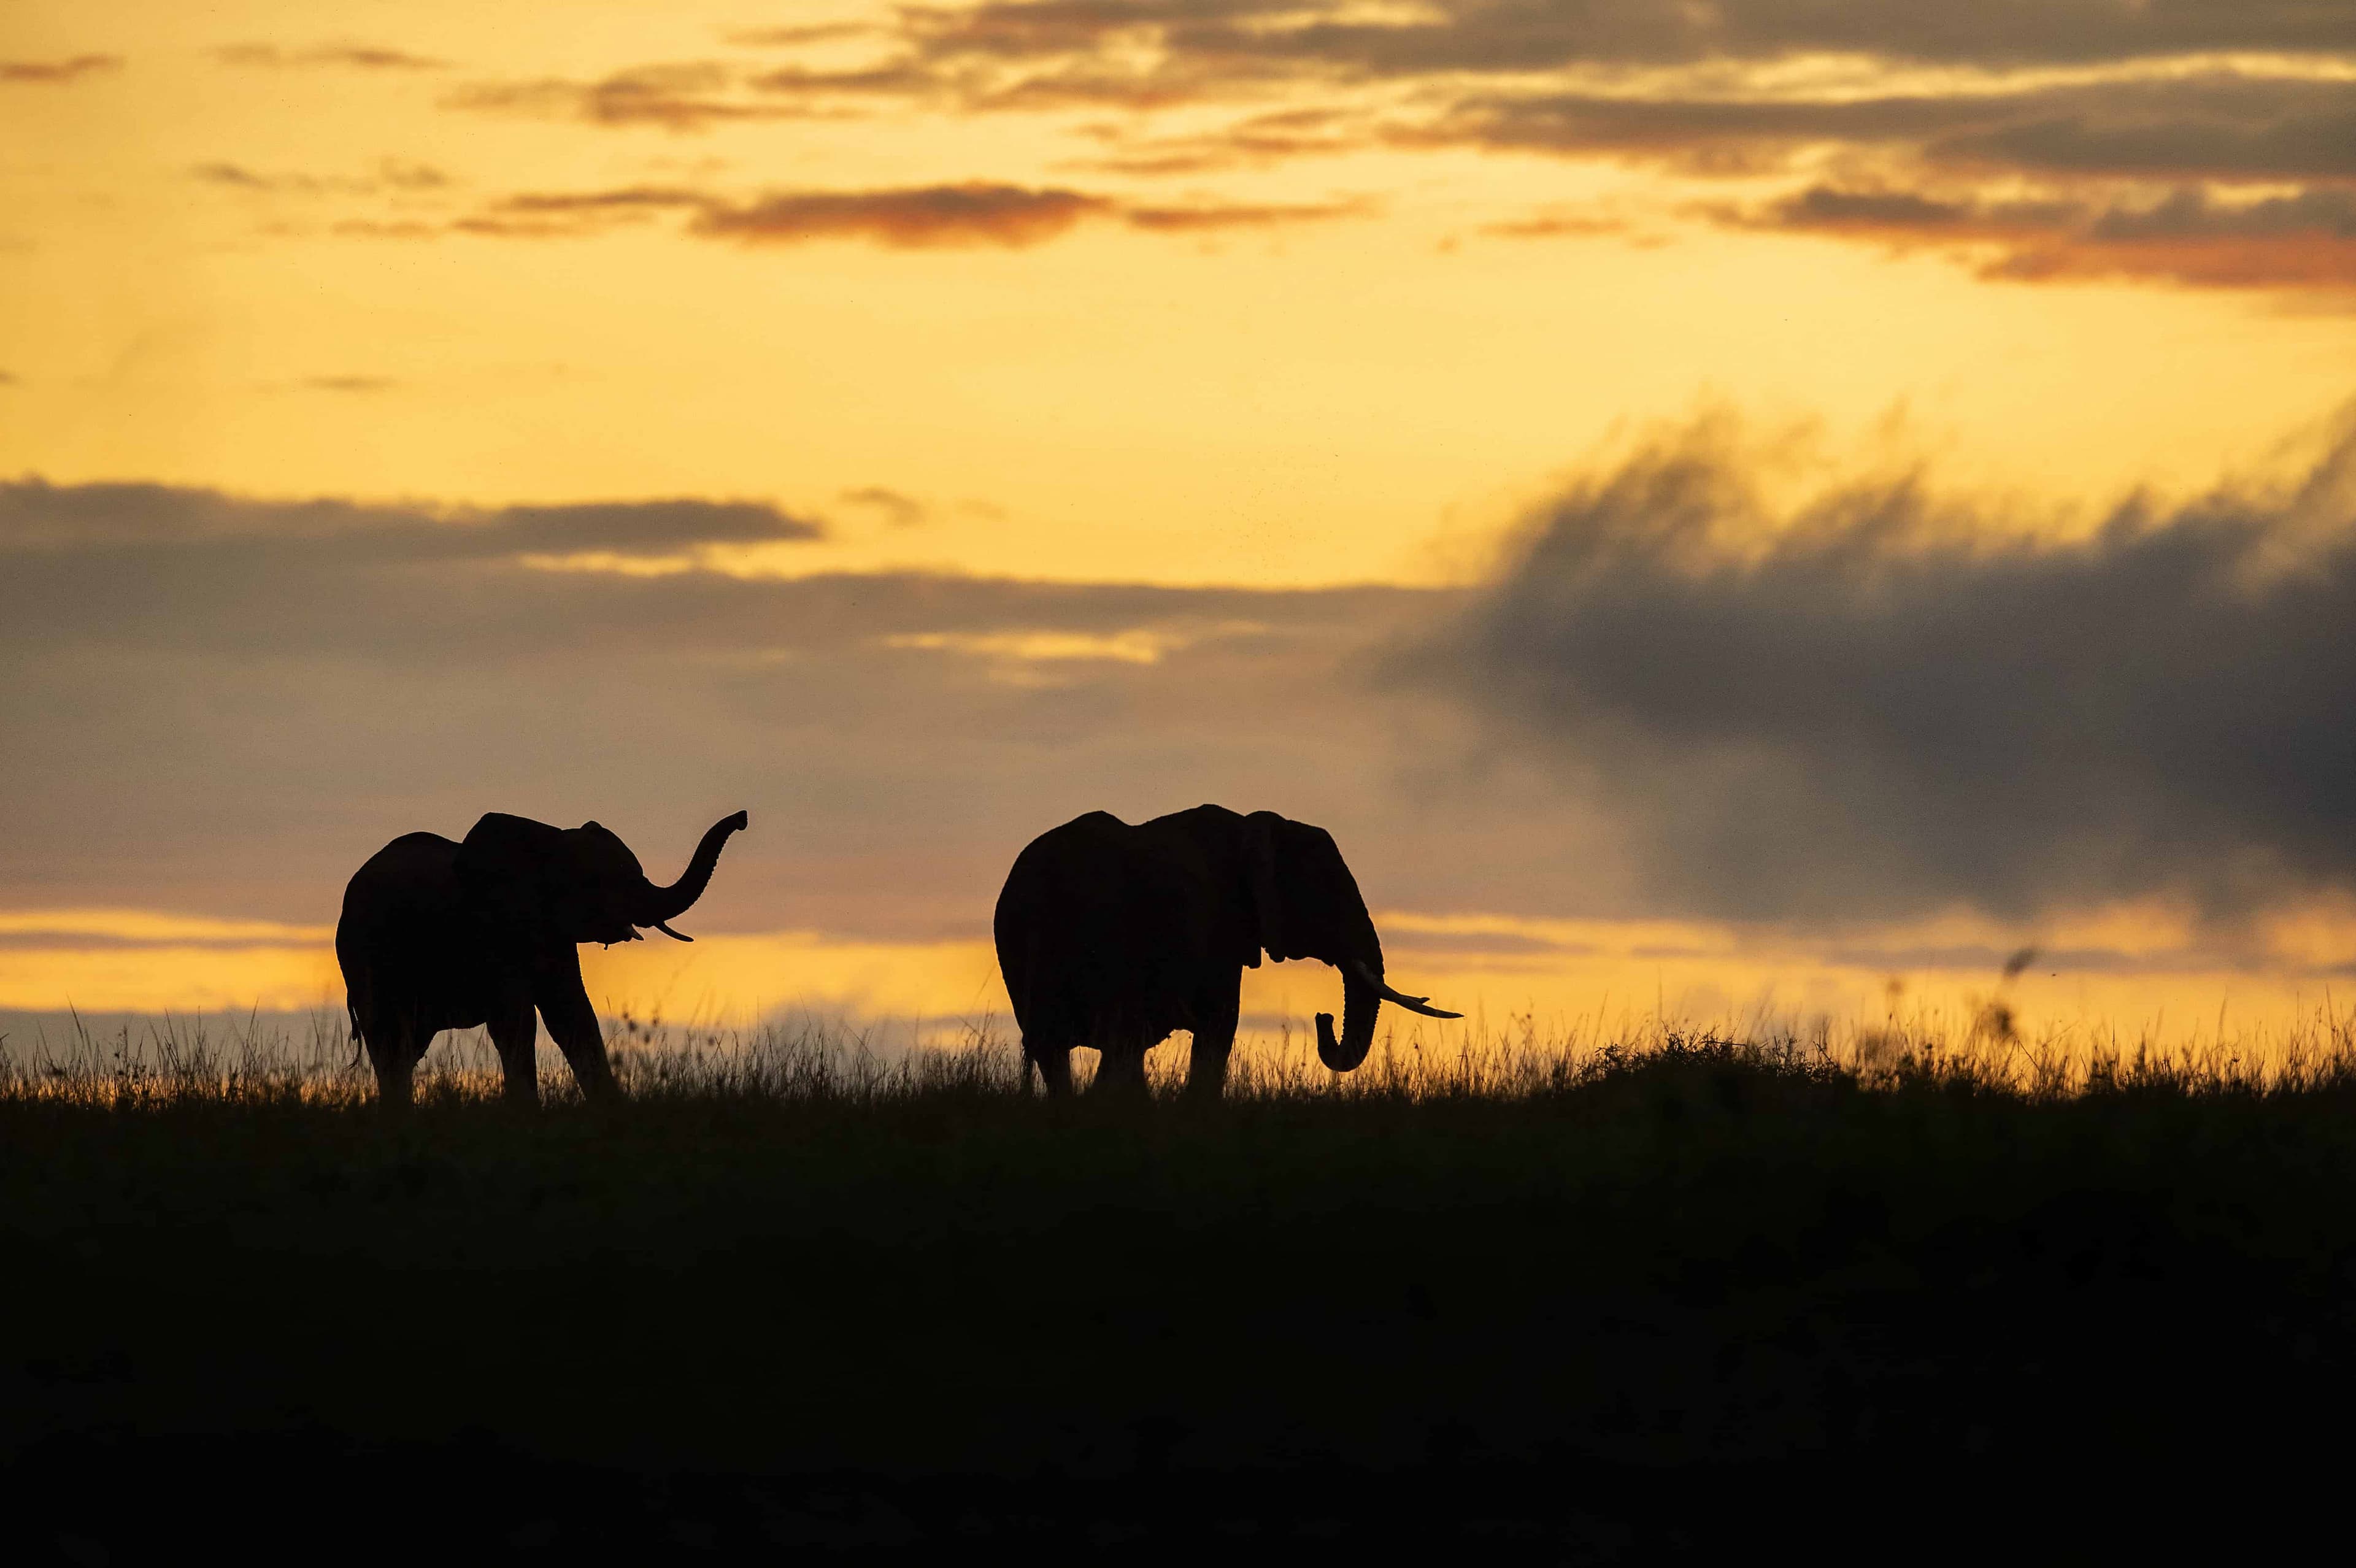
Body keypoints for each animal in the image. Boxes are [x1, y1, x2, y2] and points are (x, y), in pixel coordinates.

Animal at [336, 809, 749, 1106]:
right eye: (606, 881)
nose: (743, 818)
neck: (550, 842)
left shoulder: (555, 936)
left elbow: (573, 1016)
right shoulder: (494, 929)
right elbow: (516, 1021)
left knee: (406, 1047)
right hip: (362, 956)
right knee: (387, 1040)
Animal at [992, 805, 1458, 1099]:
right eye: (1329, 896)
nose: (1322, 1018)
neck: (1256, 825)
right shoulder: (1219, 929)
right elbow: (1220, 1025)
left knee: (1062, 1053)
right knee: (1118, 1044)